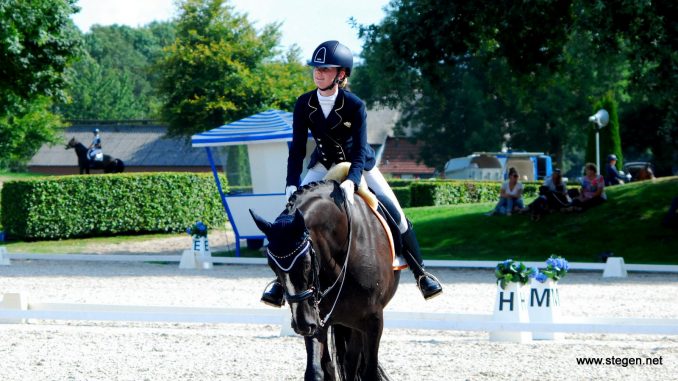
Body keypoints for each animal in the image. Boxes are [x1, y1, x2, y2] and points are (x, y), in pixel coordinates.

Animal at [251, 180, 402, 378]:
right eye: (271, 266)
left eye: (307, 262)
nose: (302, 323)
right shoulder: (318, 320)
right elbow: (316, 371)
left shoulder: (373, 321)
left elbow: (368, 371)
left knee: (351, 362)